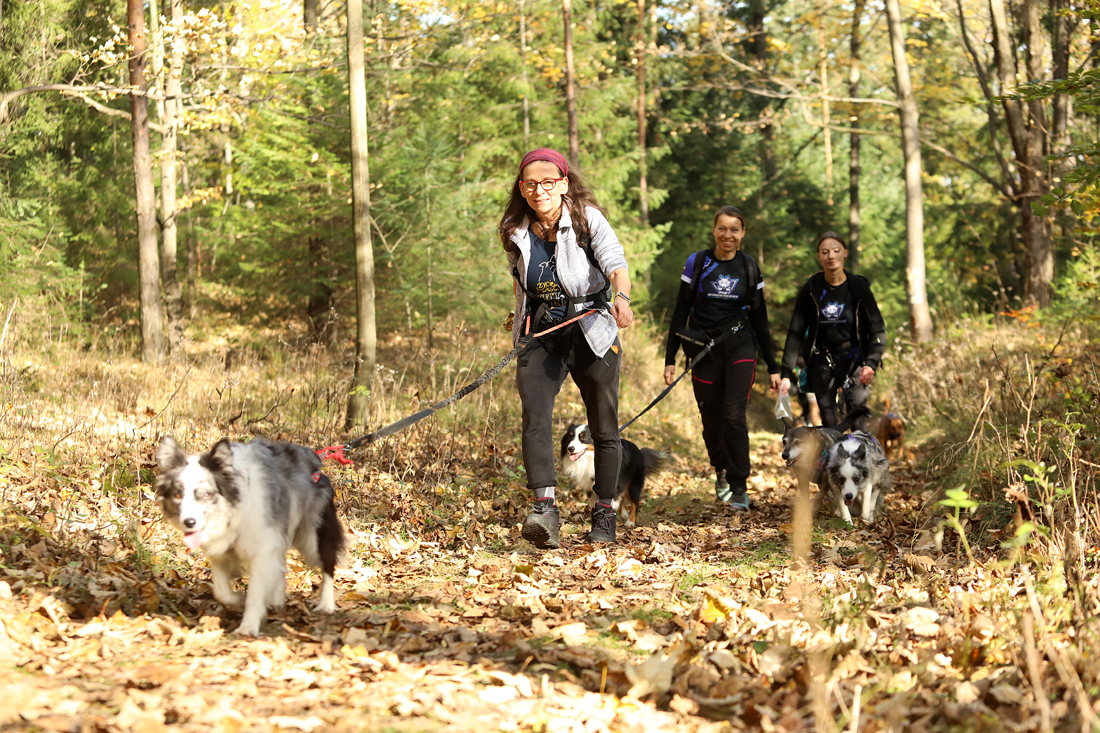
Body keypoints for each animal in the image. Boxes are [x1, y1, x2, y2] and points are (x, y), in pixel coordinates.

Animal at [156, 436, 346, 636]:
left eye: (207, 494)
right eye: (178, 495)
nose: (189, 522)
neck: (234, 511)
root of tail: (314, 459)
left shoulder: (262, 549)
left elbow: (255, 592)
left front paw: (247, 627)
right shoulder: (222, 552)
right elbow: (221, 591)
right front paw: (237, 600)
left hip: (312, 534)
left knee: (327, 564)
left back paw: (326, 604)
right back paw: (276, 601)